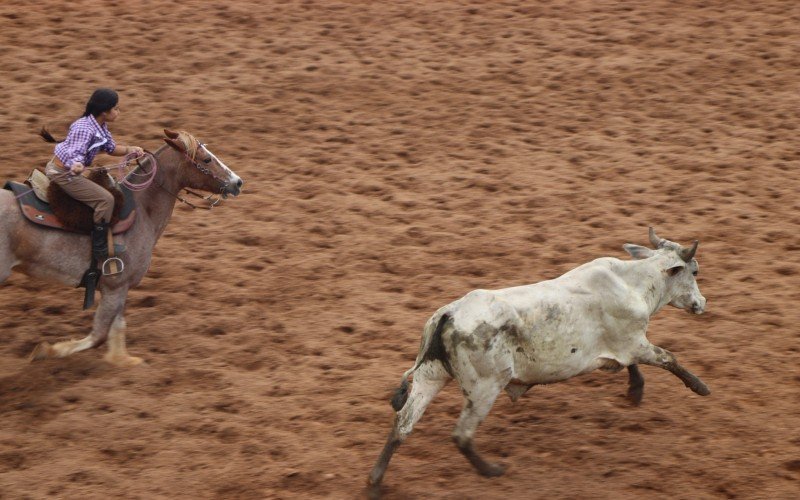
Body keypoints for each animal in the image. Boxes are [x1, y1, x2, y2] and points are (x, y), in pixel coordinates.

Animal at [0, 129, 244, 368]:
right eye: (206, 159)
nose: (238, 182)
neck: (142, 210)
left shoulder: (120, 289)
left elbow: (117, 327)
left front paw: (124, 361)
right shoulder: (115, 287)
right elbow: (98, 335)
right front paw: (46, 351)